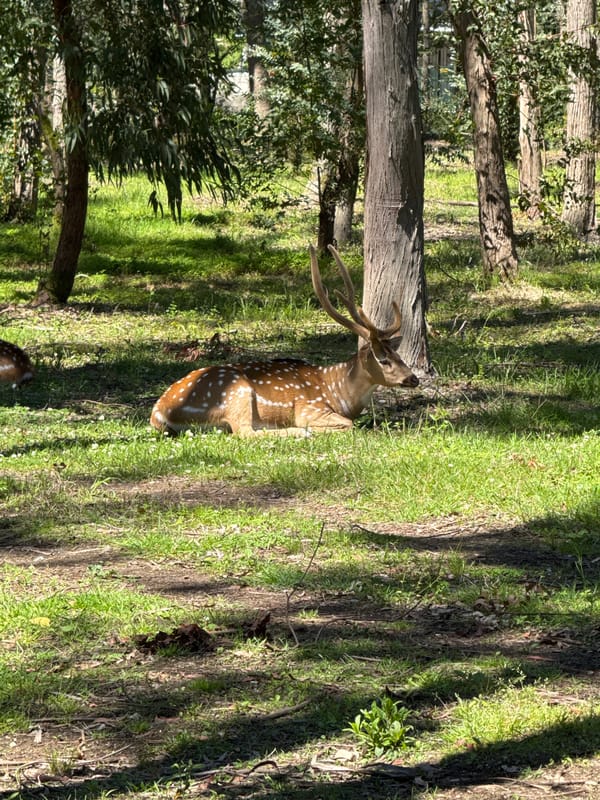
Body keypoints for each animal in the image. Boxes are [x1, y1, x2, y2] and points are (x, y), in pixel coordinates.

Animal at [150, 244, 419, 436]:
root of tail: (158, 413)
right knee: (244, 433)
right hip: (236, 392)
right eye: (383, 359)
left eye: (398, 354)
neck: (339, 393)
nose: (413, 378)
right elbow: (347, 424)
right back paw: (300, 432)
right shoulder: (311, 408)